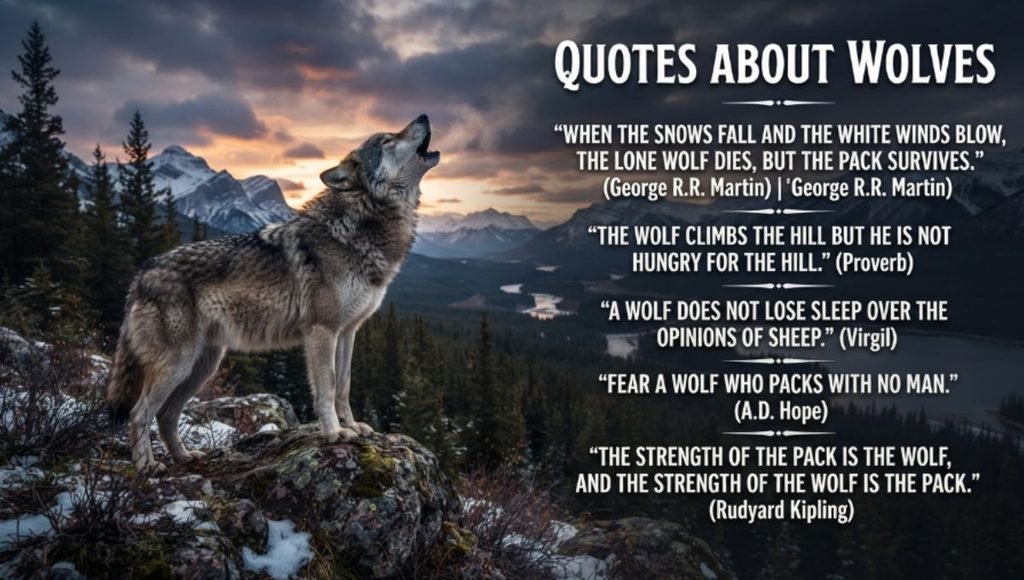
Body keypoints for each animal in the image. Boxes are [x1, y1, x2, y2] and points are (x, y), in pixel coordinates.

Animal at [107, 115, 440, 472]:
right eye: (387, 140)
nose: (423, 117)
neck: (360, 226)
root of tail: (141, 275)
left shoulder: (348, 331)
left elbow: (344, 384)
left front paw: (352, 426)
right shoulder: (321, 331)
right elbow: (326, 387)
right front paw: (334, 433)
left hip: (202, 367)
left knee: (166, 415)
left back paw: (185, 457)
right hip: (178, 364)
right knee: (139, 413)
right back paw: (146, 466)